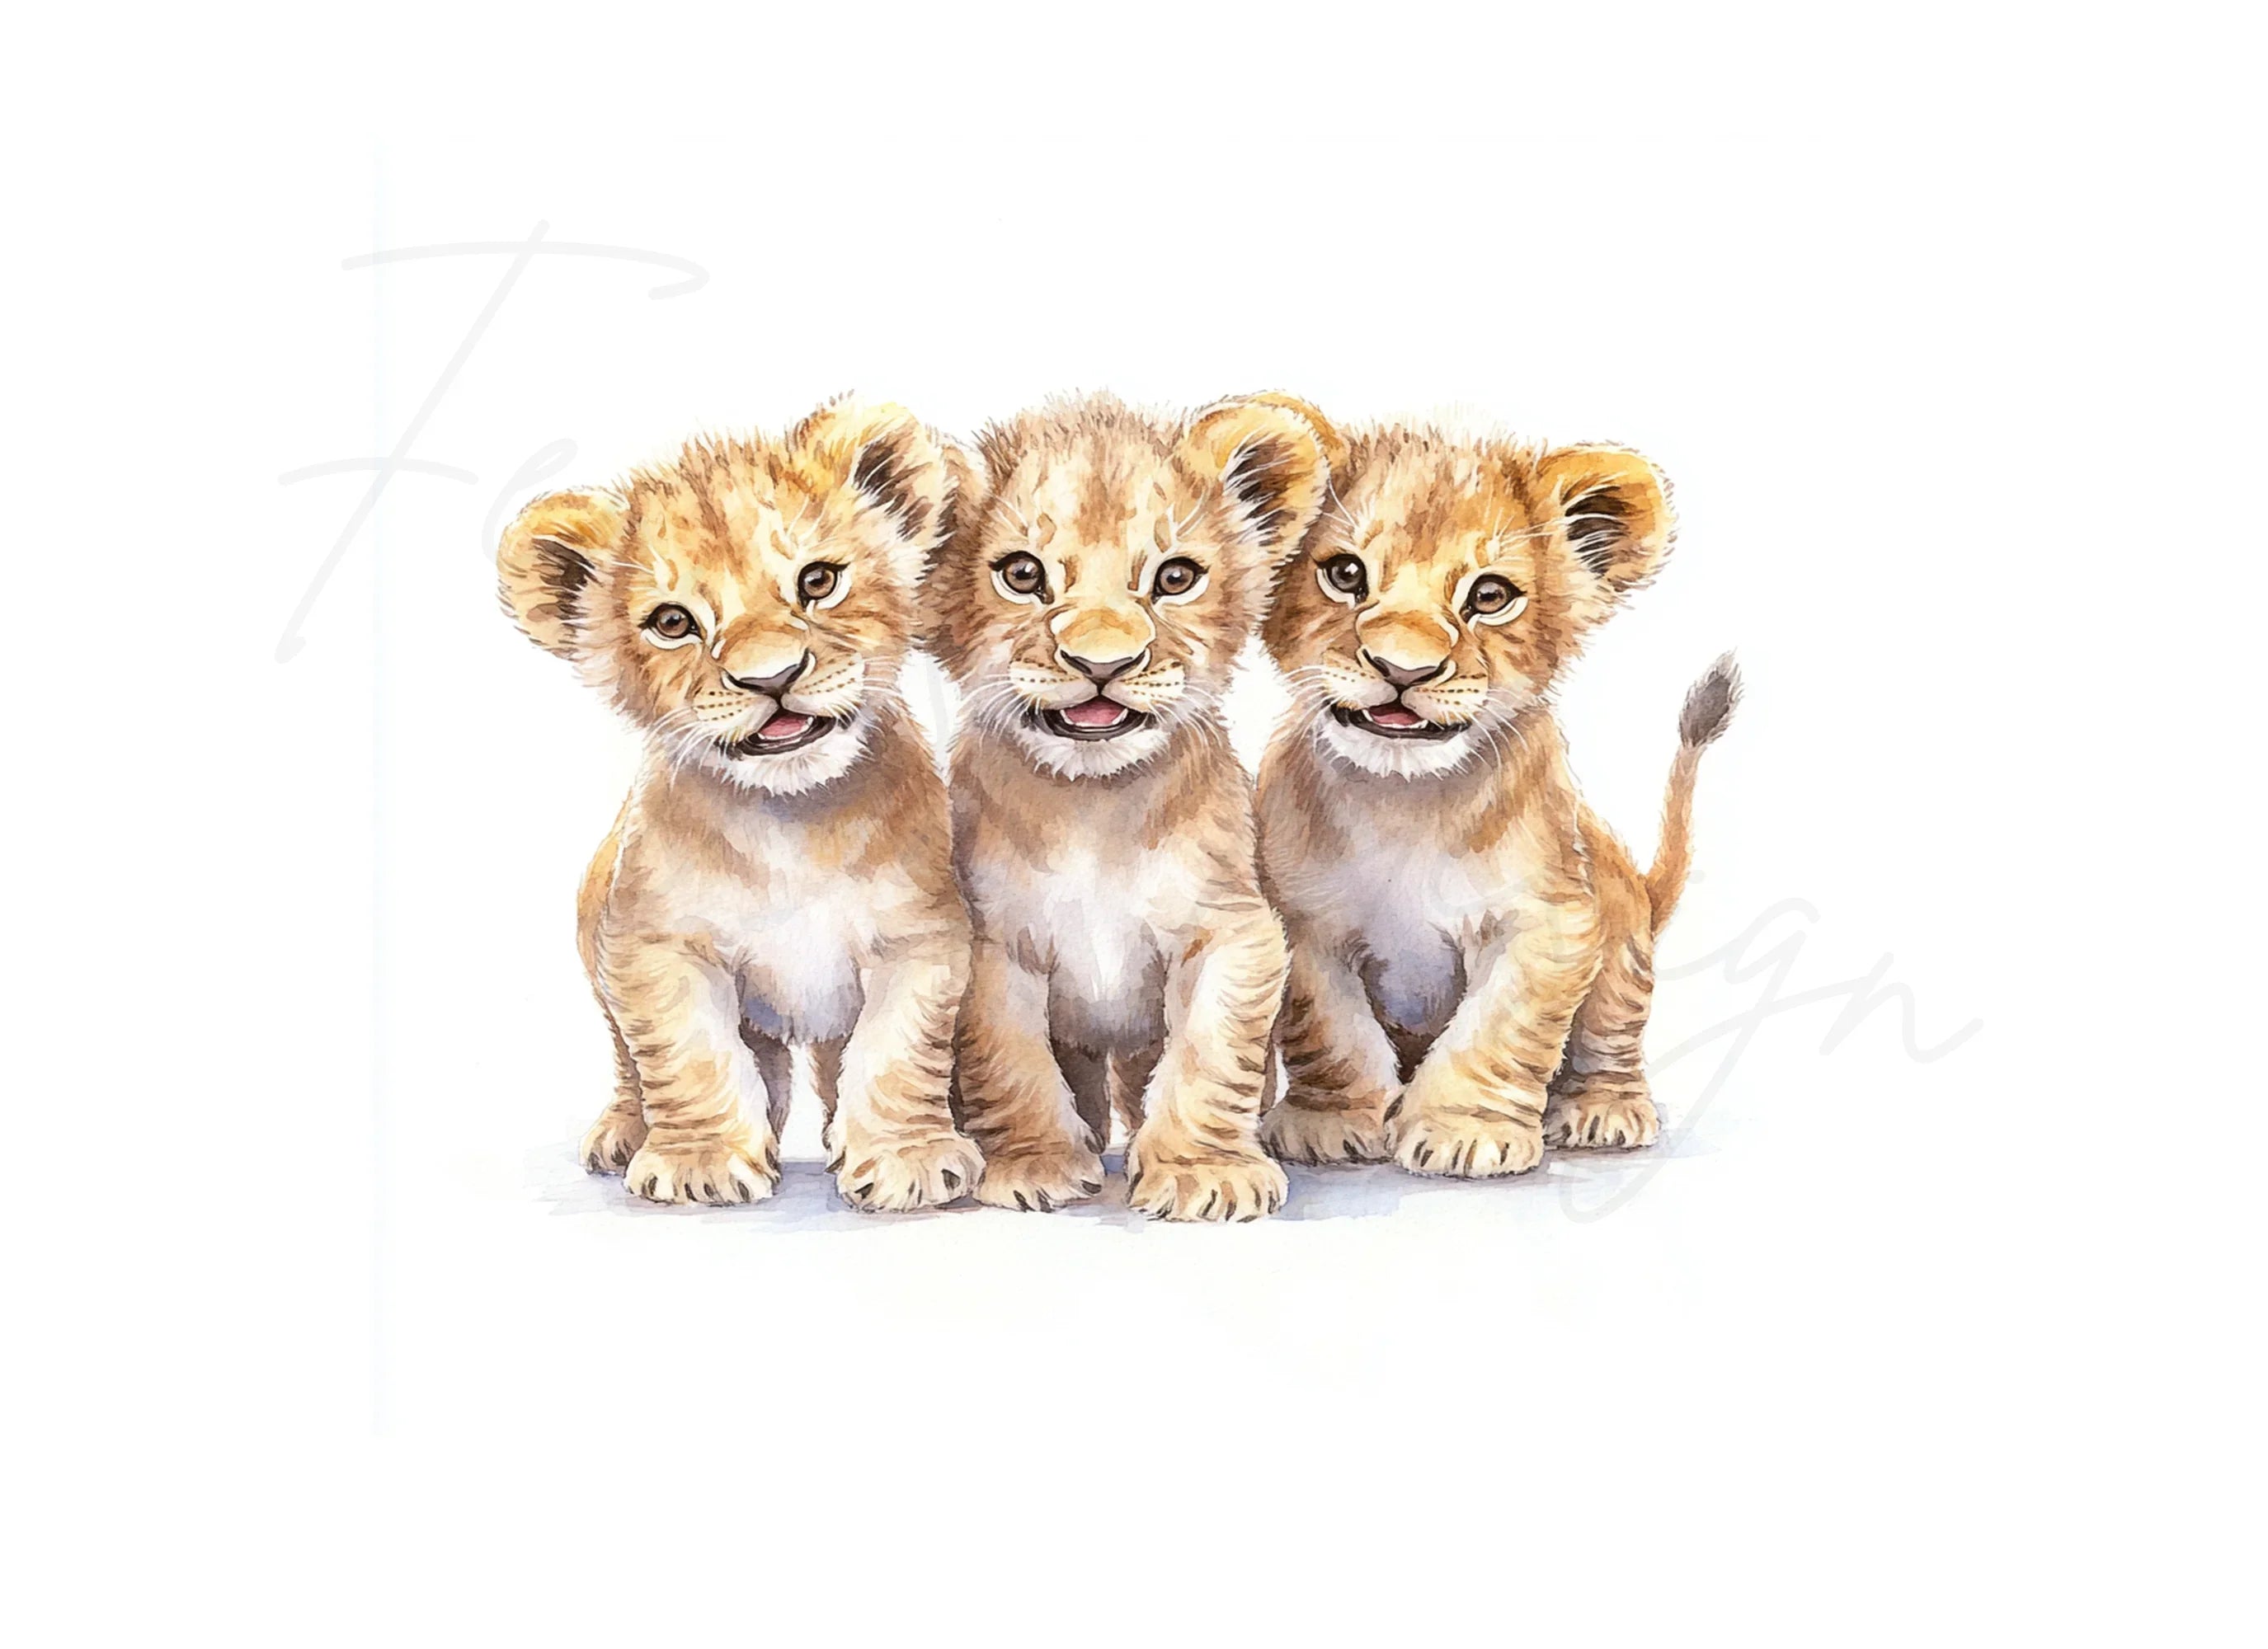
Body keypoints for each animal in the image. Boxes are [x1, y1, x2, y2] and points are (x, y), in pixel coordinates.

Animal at [495, 397, 983, 1211]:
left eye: (818, 581)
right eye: (672, 622)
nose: (773, 678)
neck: (791, 823)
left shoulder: (920, 936)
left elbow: (894, 1053)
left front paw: (905, 1161)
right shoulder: (657, 947)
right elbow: (690, 1056)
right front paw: (700, 1164)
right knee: (637, 1062)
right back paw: (625, 1134)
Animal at [924, 392, 1332, 1220]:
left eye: (1176, 577)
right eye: (1023, 574)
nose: (1103, 664)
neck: (1096, 803)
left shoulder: (1232, 931)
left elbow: (1212, 1057)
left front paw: (1205, 1171)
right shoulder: (996, 946)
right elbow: (1010, 1062)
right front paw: (1036, 1164)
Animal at [1253, 411, 1738, 1177]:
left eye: (1489, 596)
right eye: (1345, 574)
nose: (1402, 670)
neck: (1404, 802)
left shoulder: (1549, 923)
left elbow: (1495, 1031)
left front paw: (1464, 1133)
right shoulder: (1305, 925)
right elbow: (1332, 1032)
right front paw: (1327, 1124)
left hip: (1618, 934)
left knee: (1611, 1035)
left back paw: (1604, 1110)